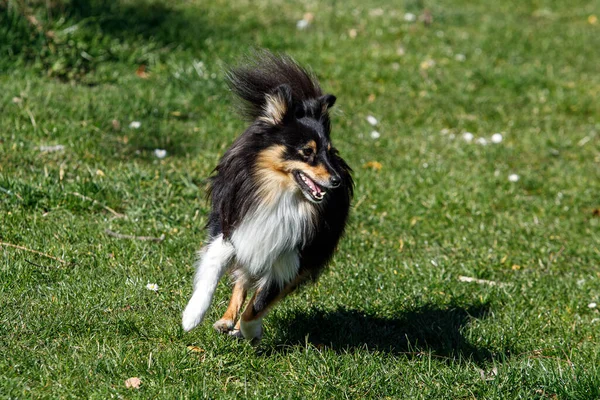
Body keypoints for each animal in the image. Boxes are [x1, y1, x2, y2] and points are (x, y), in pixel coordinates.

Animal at [180, 51, 354, 342]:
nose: (336, 181)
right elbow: (213, 268)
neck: (279, 194)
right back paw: (226, 320)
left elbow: (259, 303)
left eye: (329, 153)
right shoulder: (232, 227)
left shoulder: (292, 259)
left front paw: (249, 330)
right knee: (241, 280)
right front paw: (192, 315)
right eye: (307, 152)